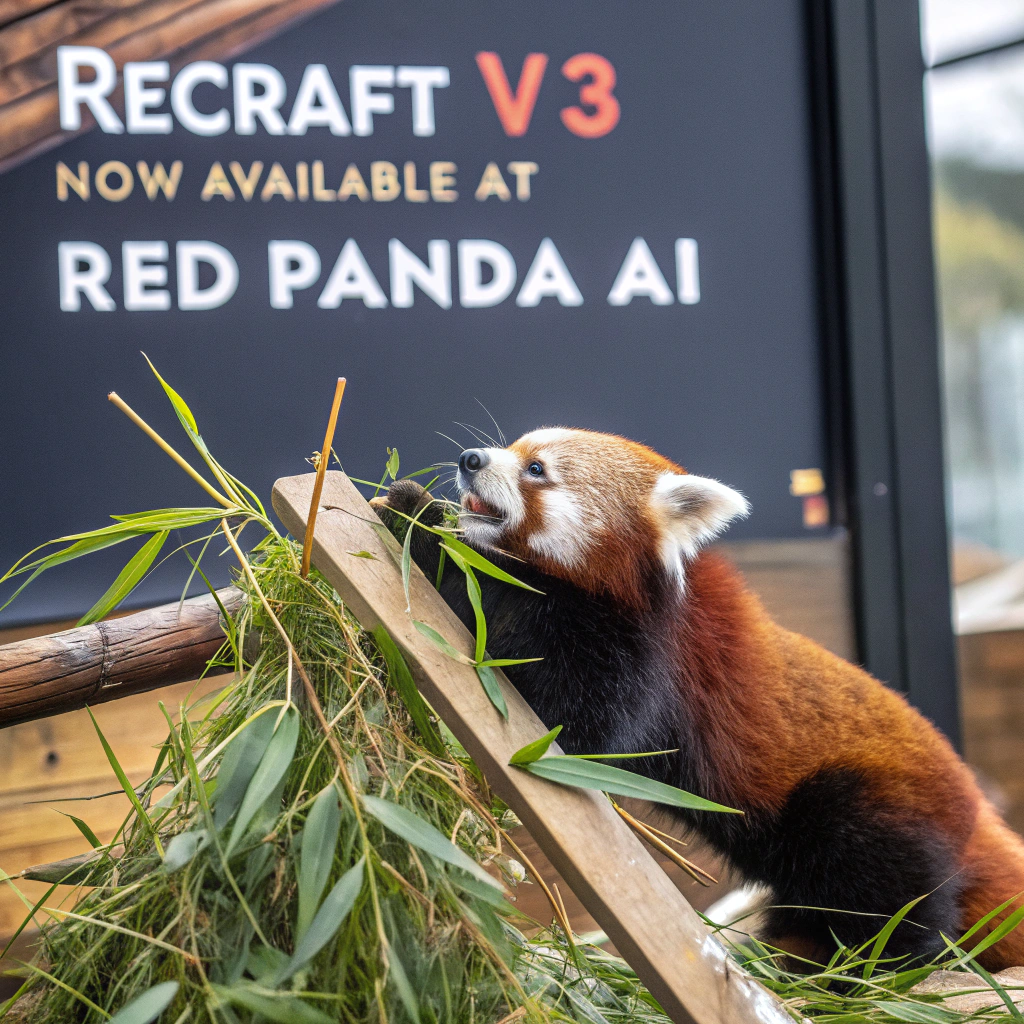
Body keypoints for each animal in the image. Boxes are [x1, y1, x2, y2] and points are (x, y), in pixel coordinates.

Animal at [371, 426, 1024, 969]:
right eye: (513, 445)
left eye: (536, 469)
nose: (470, 459)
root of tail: (976, 812)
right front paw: (411, 509)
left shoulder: (647, 660)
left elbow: (566, 725)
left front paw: (420, 522)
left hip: (871, 809)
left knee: (888, 903)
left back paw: (855, 974)